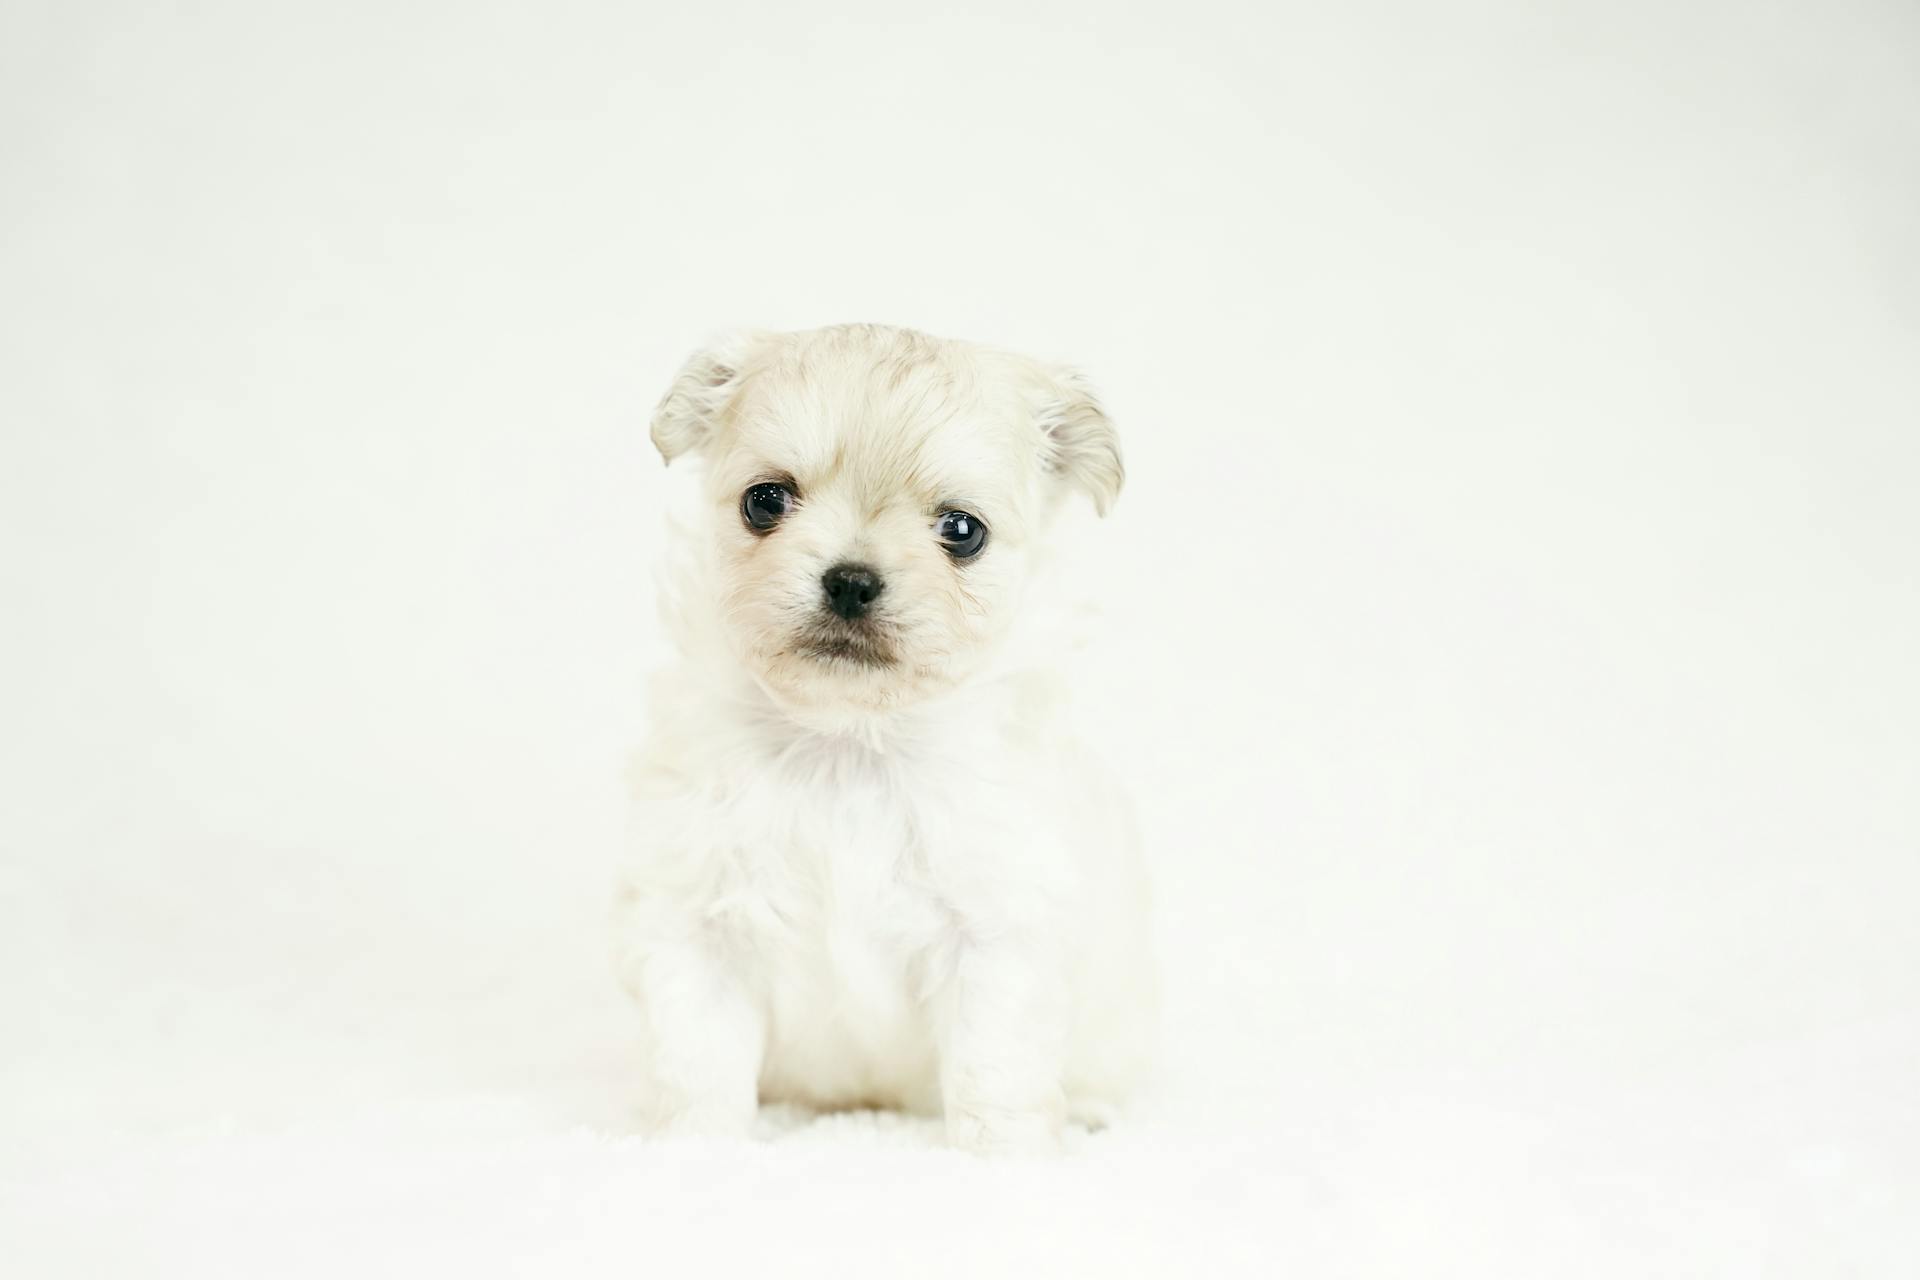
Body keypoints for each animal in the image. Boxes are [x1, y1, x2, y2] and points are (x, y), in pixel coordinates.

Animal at [618, 328, 1152, 1151]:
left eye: (962, 531)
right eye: (764, 501)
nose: (850, 580)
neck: (849, 742)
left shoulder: (996, 933)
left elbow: (995, 1072)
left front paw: (1005, 1157)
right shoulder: (699, 923)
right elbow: (698, 1066)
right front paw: (693, 1150)